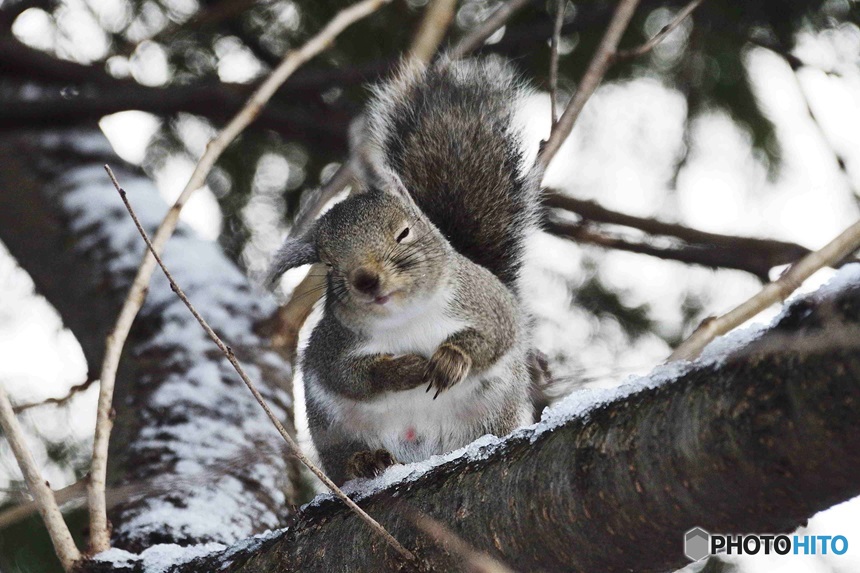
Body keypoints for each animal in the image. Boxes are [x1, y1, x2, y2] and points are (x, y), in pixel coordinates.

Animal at [266, 55, 540, 482]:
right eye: (328, 262)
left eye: (404, 233)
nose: (365, 279)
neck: (407, 317)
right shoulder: (333, 344)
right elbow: (348, 376)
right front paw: (404, 370)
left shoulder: (488, 303)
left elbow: (495, 336)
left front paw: (452, 359)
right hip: (332, 428)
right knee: (344, 459)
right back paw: (364, 460)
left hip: (495, 407)